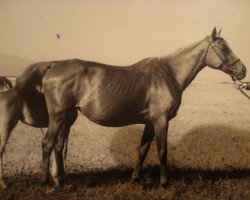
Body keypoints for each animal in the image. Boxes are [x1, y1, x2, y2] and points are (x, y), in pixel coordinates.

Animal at [13, 28, 246, 188]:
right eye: (223, 47)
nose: (242, 70)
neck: (168, 73)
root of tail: (53, 64)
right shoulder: (161, 120)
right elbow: (162, 150)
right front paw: (164, 183)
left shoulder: (150, 122)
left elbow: (142, 150)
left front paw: (135, 179)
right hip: (57, 117)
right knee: (47, 144)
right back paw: (45, 183)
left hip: (67, 118)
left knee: (59, 147)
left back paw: (61, 180)